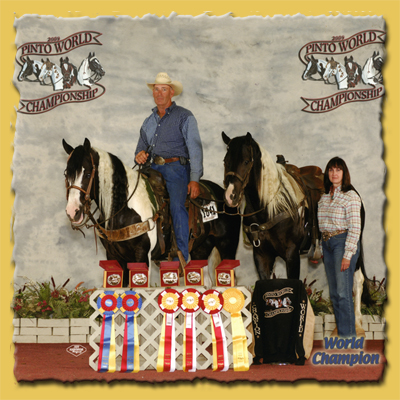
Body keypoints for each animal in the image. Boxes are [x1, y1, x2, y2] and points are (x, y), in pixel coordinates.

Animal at [63, 138, 241, 287]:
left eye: (87, 173)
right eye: (66, 173)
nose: (73, 211)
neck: (123, 207)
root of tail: (224, 197)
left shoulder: (141, 255)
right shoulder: (113, 256)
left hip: (228, 247)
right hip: (201, 249)